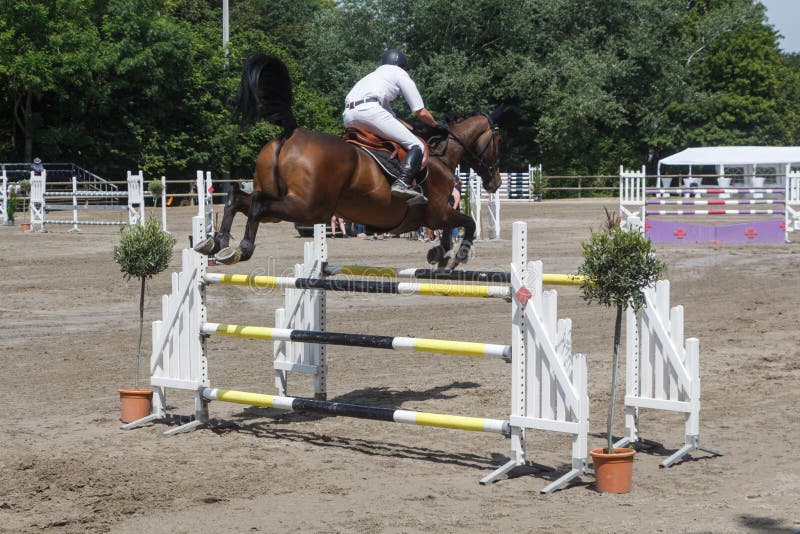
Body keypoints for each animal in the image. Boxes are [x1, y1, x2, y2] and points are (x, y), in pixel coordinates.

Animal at [195, 53, 504, 272]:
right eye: (498, 140)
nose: (496, 181)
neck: (441, 155)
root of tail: (290, 133)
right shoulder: (438, 211)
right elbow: (468, 223)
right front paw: (456, 256)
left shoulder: (436, 215)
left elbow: (450, 231)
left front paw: (439, 254)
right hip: (308, 208)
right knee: (257, 203)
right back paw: (242, 248)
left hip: (285, 204)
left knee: (239, 198)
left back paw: (216, 242)